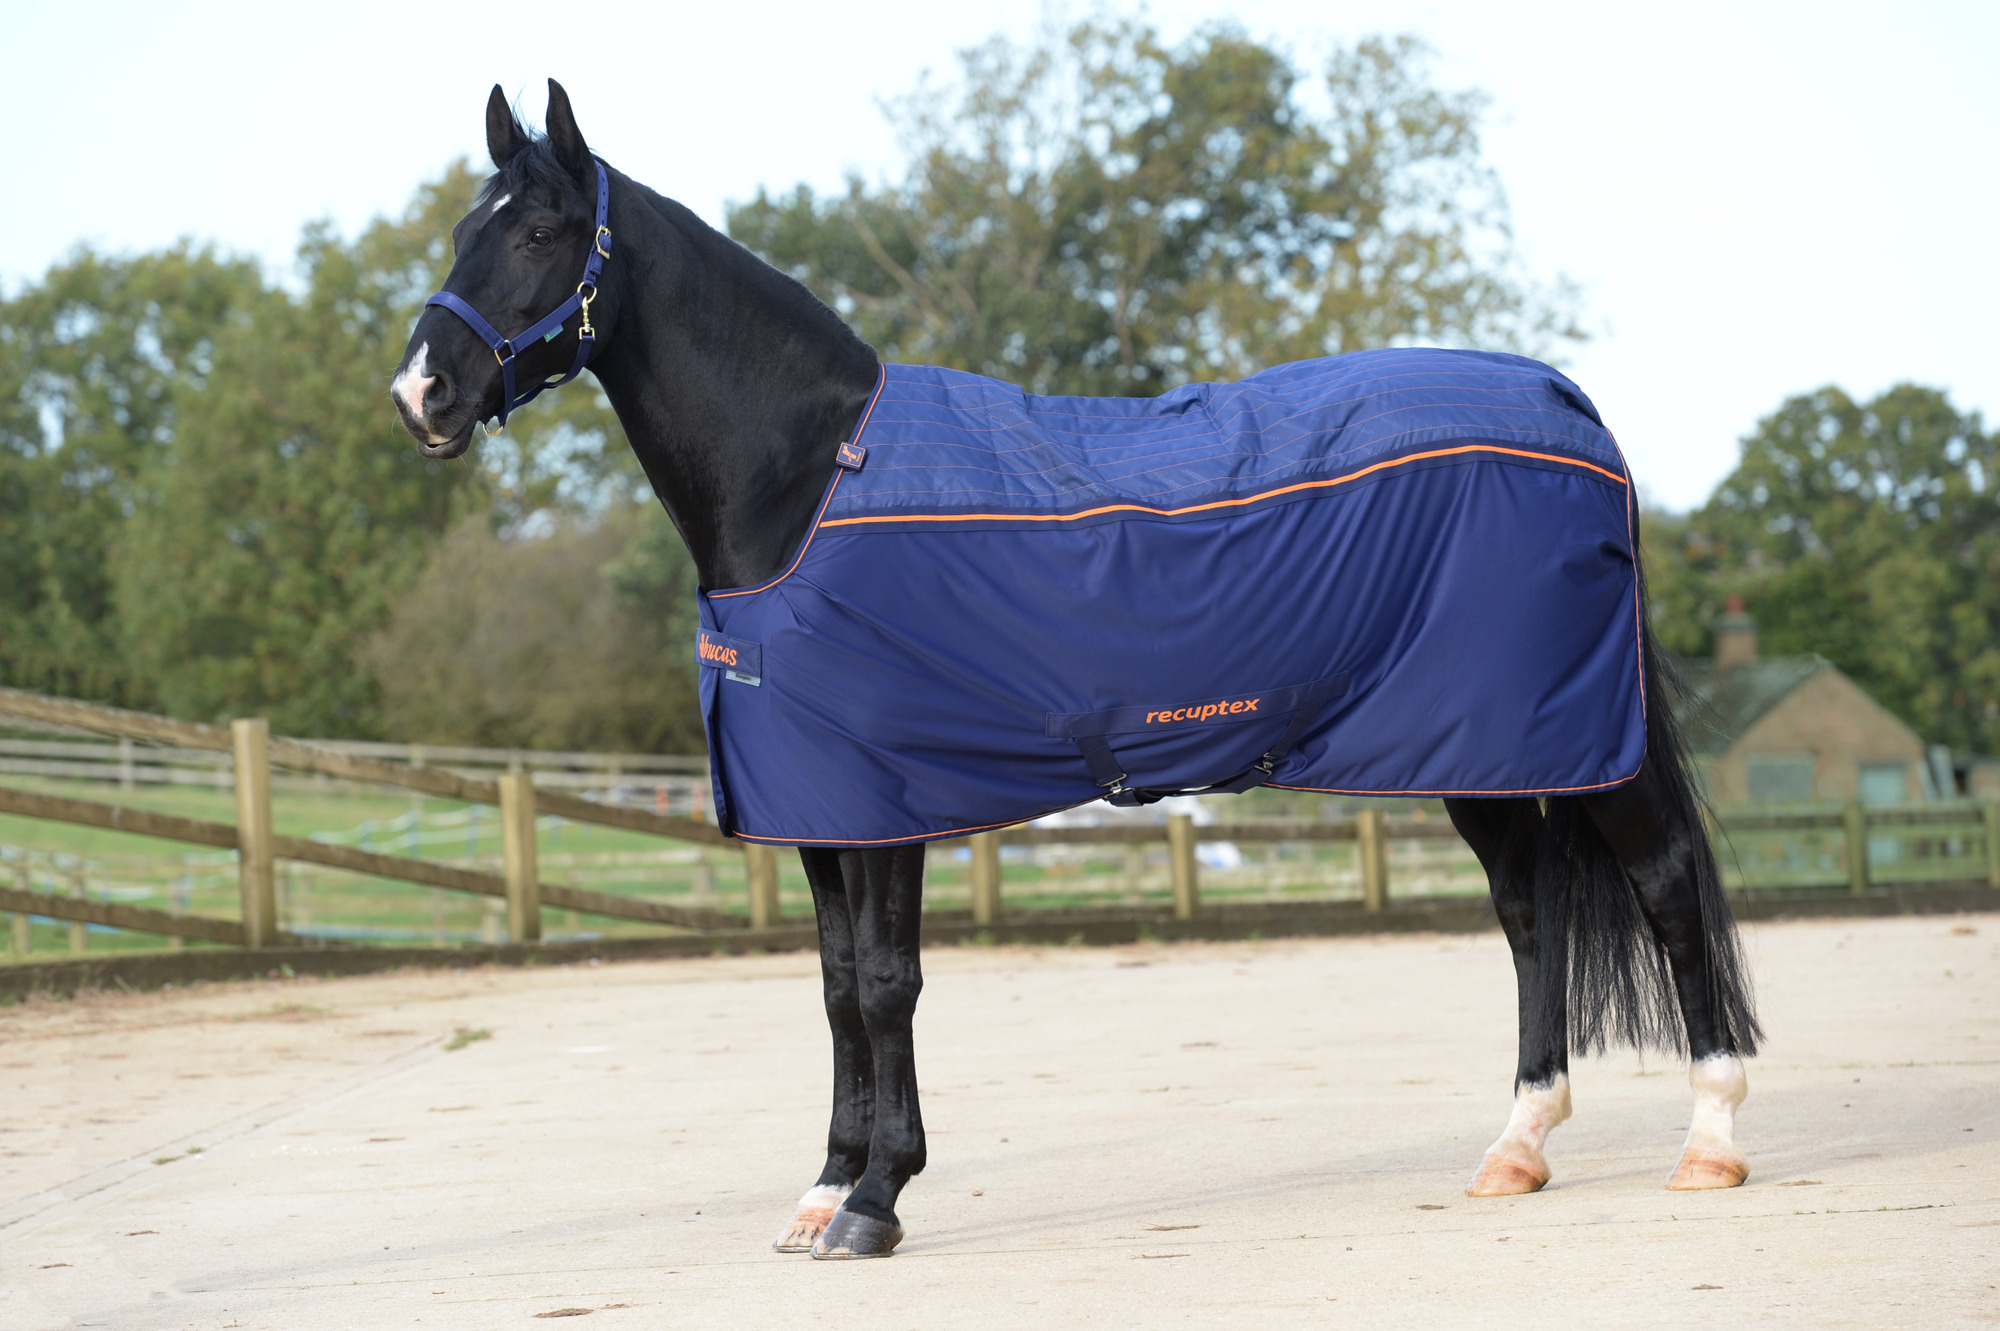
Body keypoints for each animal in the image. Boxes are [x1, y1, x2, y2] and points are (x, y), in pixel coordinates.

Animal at [390, 81, 1761, 1260]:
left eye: (543, 230)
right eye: (462, 227)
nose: (422, 391)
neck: (810, 480)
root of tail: (1562, 402)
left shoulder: (884, 805)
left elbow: (884, 987)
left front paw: (875, 1200)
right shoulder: (818, 809)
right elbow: (833, 992)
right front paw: (822, 1190)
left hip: (1583, 740)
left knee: (1664, 884)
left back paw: (1707, 1139)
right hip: (1478, 745)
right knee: (1529, 913)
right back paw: (1514, 1146)